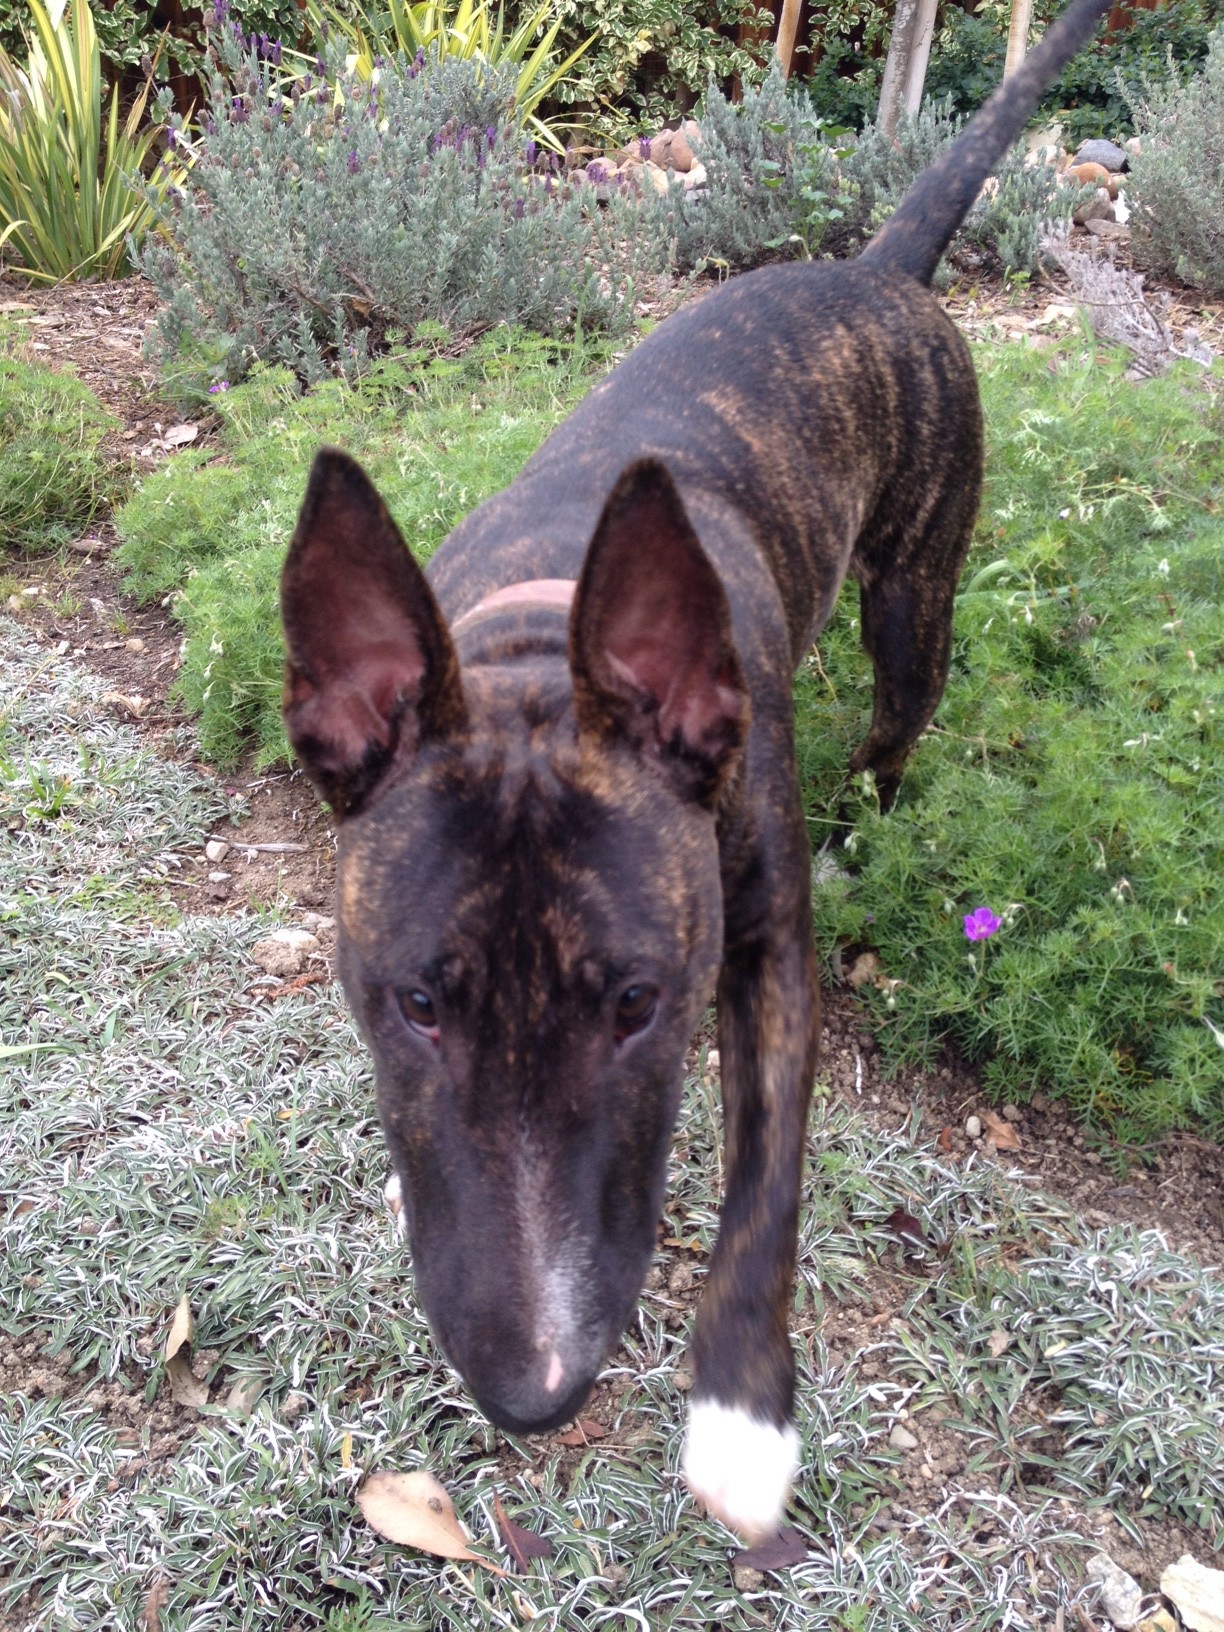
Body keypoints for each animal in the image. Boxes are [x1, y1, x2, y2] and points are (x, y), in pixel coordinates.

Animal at [280, 0, 1109, 1543]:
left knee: (899, 724)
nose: (534, 1393)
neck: (543, 642)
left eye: (637, 1005)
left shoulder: (765, 954)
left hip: (913, 600)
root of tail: (874, 270)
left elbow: (766, 1180)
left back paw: (871, 820)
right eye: (414, 1003)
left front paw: (742, 1411)